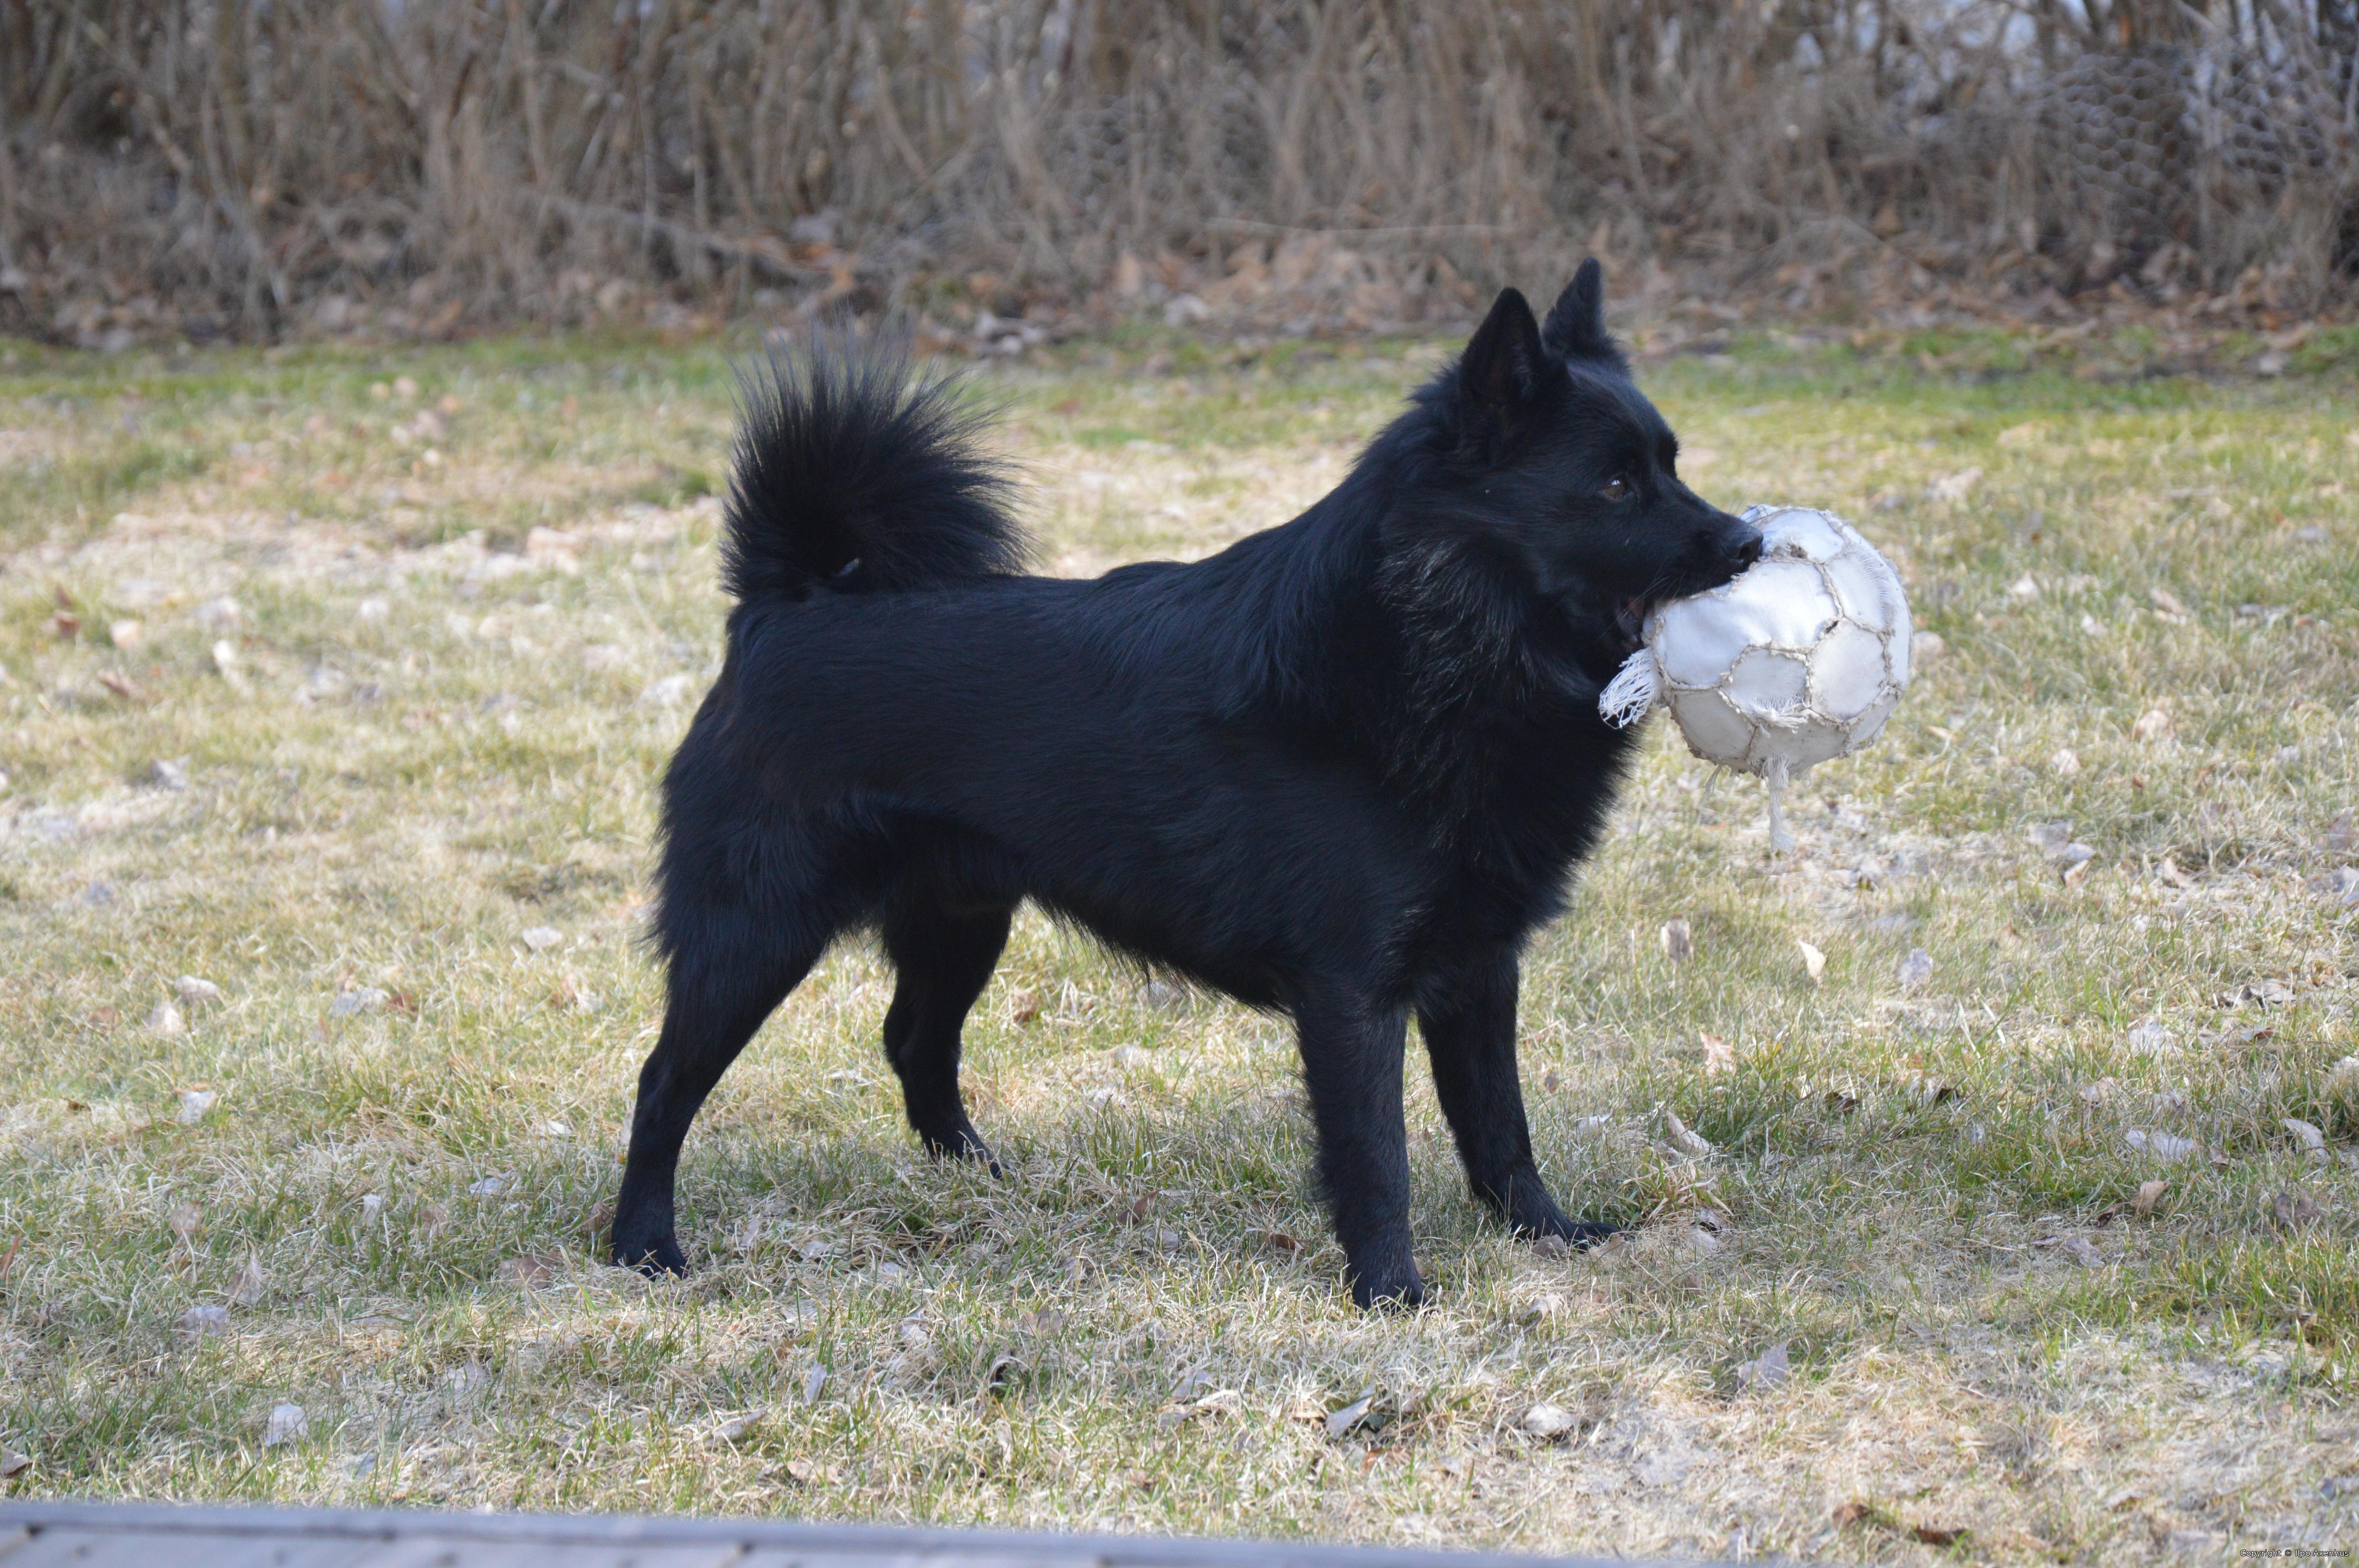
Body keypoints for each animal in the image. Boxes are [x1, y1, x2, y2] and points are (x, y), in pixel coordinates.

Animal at [611, 261, 1762, 1307]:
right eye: (1614, 485)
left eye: (1670, 464)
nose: (1751, 541)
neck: (1430, 641)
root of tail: (782, 606)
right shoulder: (1352, 990)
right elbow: (1377, 1157)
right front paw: (1392, 1292)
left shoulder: (1479, 965)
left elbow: (1499, 1124)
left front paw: (1548, 1234)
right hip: (756, 931)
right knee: (664, 1081)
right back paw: (643, 1245)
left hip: (963, 916)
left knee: (913, 1041)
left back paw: (981, 1182)